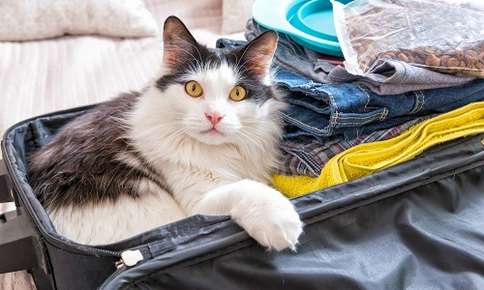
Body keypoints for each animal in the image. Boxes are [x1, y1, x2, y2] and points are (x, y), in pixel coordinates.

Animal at [28, 16, 302, 251]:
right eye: (193, 89)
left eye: (237, 94)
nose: (214, 116)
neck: (220, 153)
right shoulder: (198, 204)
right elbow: (246, 189)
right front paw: (281, 221)